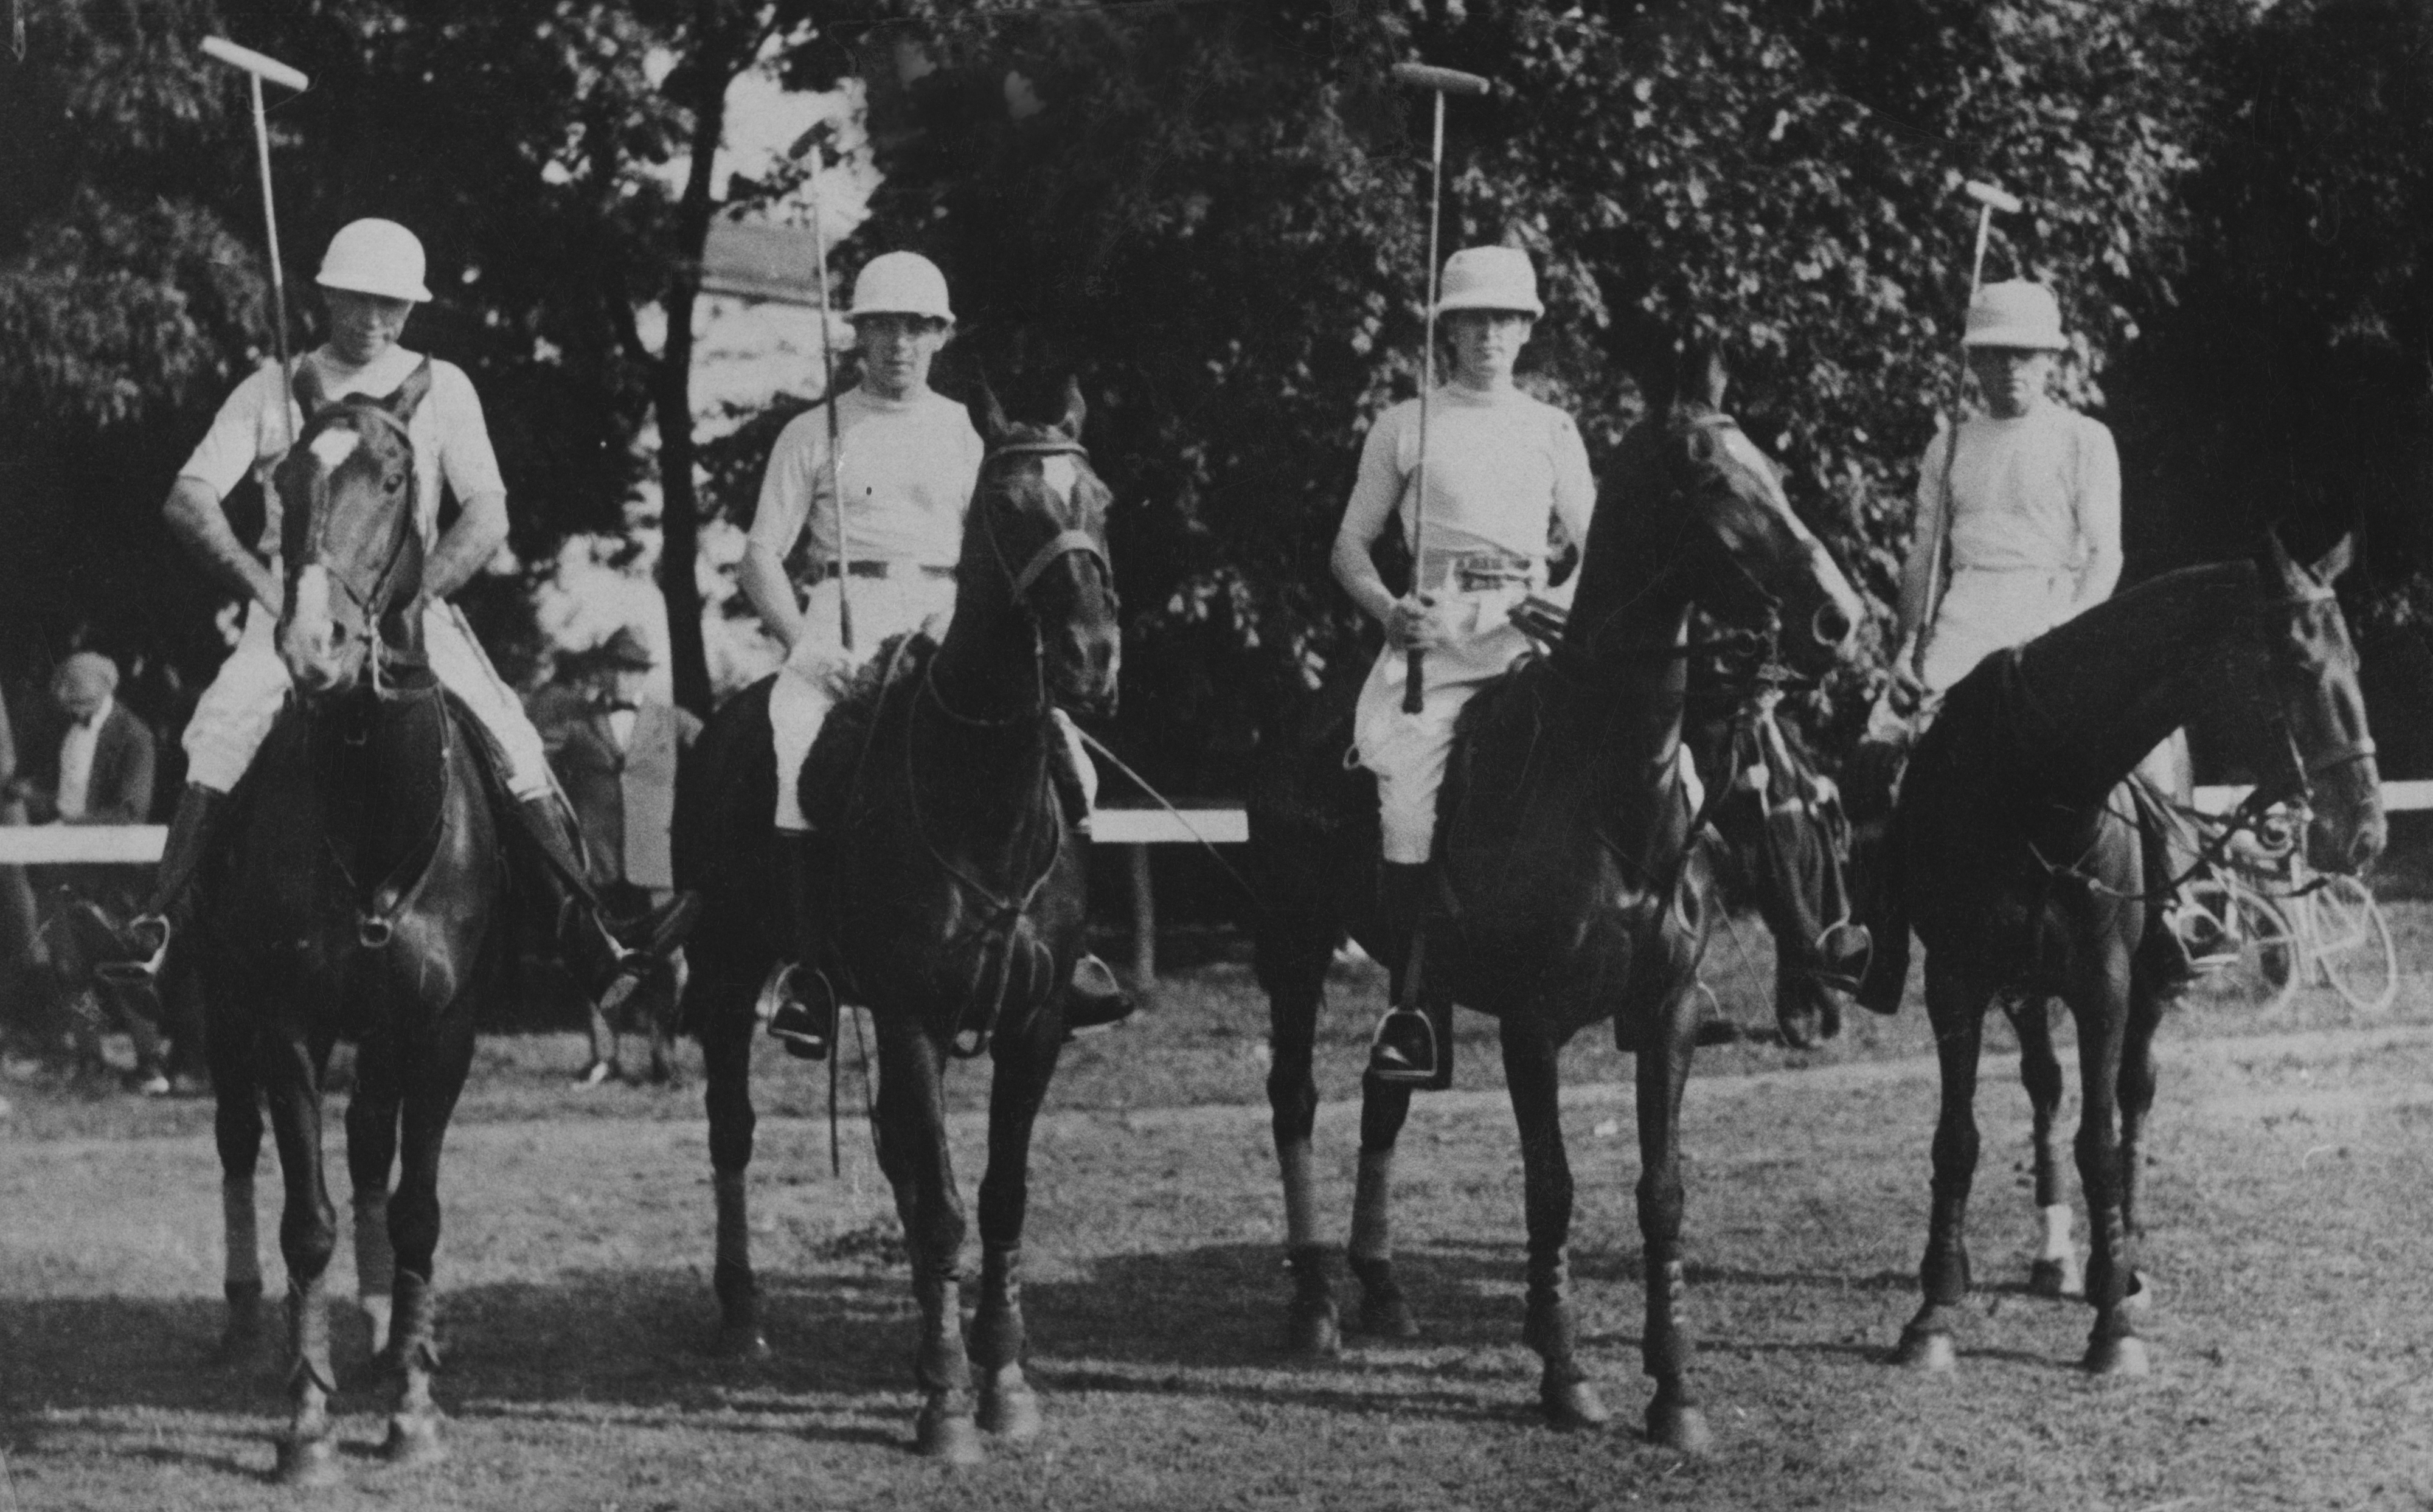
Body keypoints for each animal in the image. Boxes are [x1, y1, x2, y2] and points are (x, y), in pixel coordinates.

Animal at [192, 362, 511, 1488]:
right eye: (284, 480)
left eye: (394, 475)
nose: (313, 644)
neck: (373, 818)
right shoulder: (285, 1024)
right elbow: (307, 1221)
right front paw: (307, 1420)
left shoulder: (444, 1027)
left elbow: (414, 1207)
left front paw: (412, 1400)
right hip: (224, 1013)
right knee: (238, 1141)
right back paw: (249, 1320)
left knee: (375, 1144)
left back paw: (381, 1329)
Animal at [676, 381, 1114, 1468]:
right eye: (1006, 506)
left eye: (1103, 501)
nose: (1092, 658)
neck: (984, 799)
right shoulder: (913, 1013)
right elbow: (949, 1207)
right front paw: (948, 1401)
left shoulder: (1035, 1024)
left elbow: (995, 1197)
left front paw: (1003, 1380)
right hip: (727, 974)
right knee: (733, 1129)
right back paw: (741, 1314)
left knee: (903, 1166)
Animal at [1255, 350, 1859, 1449]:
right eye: (1708, 477)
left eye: (1777, 470)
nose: (1839, 619)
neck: (1610, 794)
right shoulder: (1532, 1023)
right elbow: (1553, 1189)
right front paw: (1567, 1373)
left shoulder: (1666, 1014)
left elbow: (1662, 1191)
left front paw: (1675, 1390)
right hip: (1292, 944)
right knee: (1297, 1097)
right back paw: (1317, 1301)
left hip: (1413, 980)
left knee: (1384, 1092)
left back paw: (1383, 1288)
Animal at [1878, 537, 2375, 1390]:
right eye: (2301, 664)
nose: (2367, 832)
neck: (2031, 781)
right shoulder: (1956, 981)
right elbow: (1958, 1137)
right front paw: (1934, 1308)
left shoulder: (2105, 987)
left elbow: (2103, 1140)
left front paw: (2112, 1318)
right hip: (2023, 989)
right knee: (2045, 1086)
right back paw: (2055, 1255)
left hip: (2141, 990)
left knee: (2134, 1098)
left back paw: (2125, 1263)